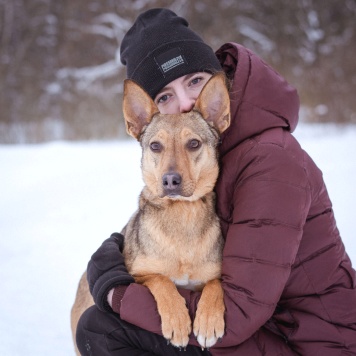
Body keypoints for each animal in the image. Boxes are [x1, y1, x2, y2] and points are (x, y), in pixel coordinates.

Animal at [71, 71, 231, 352]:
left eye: (193, 143)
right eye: (156, 146)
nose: (170, 180)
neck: (182, 215)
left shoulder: (215, 276)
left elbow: (215, 283)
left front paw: (208, 320)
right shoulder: (136, 275)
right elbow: (161, 280)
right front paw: (177, 320)